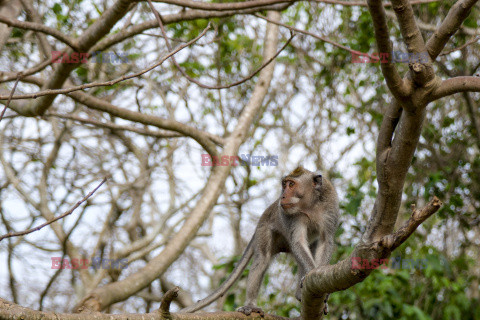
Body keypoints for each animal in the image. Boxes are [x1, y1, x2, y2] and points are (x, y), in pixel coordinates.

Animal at [181, 166, 342, 316]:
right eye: (284, 184)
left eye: (291, 184)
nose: (282, 196)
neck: (310, 205)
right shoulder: (291, 216)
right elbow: (298, 241)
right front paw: (310, 272)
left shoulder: (330, 207)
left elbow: (325, 240)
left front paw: (320, 284)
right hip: (264, 229)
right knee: (262, 259)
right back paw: (251, 305)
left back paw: (299, 294)